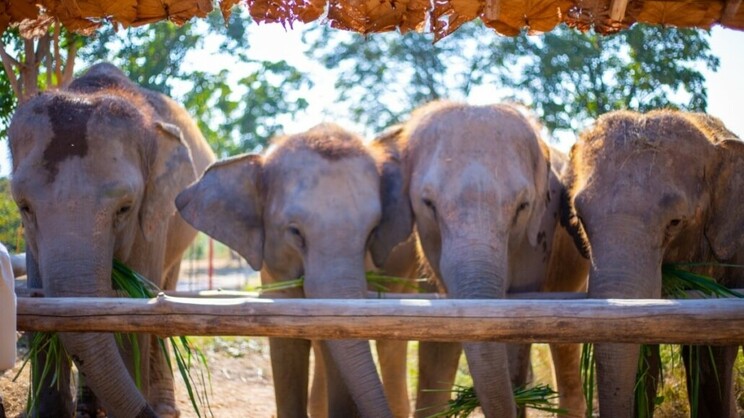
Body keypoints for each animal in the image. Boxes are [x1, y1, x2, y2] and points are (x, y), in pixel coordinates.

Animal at [8, 62, 215, 417]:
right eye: (24, 206)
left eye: (125, 207)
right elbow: (45, 303)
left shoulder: (151, 218)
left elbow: (132, 311)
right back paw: (88, 409)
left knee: (164, 293)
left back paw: (162, 407)